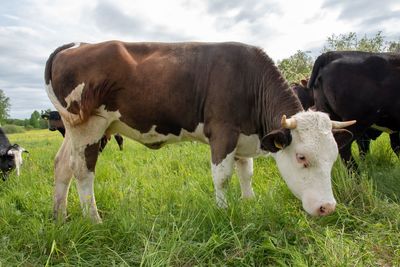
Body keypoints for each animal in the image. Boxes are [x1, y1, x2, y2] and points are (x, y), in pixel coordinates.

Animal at [45, 40, 354, 223]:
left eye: (333, 158)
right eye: (302, 157)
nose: (327, 208)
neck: (249, 81)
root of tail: (76, 46)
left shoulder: (243, 138)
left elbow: (246, 173)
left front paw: (249, 203)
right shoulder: (223, 132)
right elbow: (223, 176)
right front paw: (223, 210)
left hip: (76, 130)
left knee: (62, 166)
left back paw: (60, 217)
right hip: (90, 127)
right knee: (83, 171)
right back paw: (94, 220)